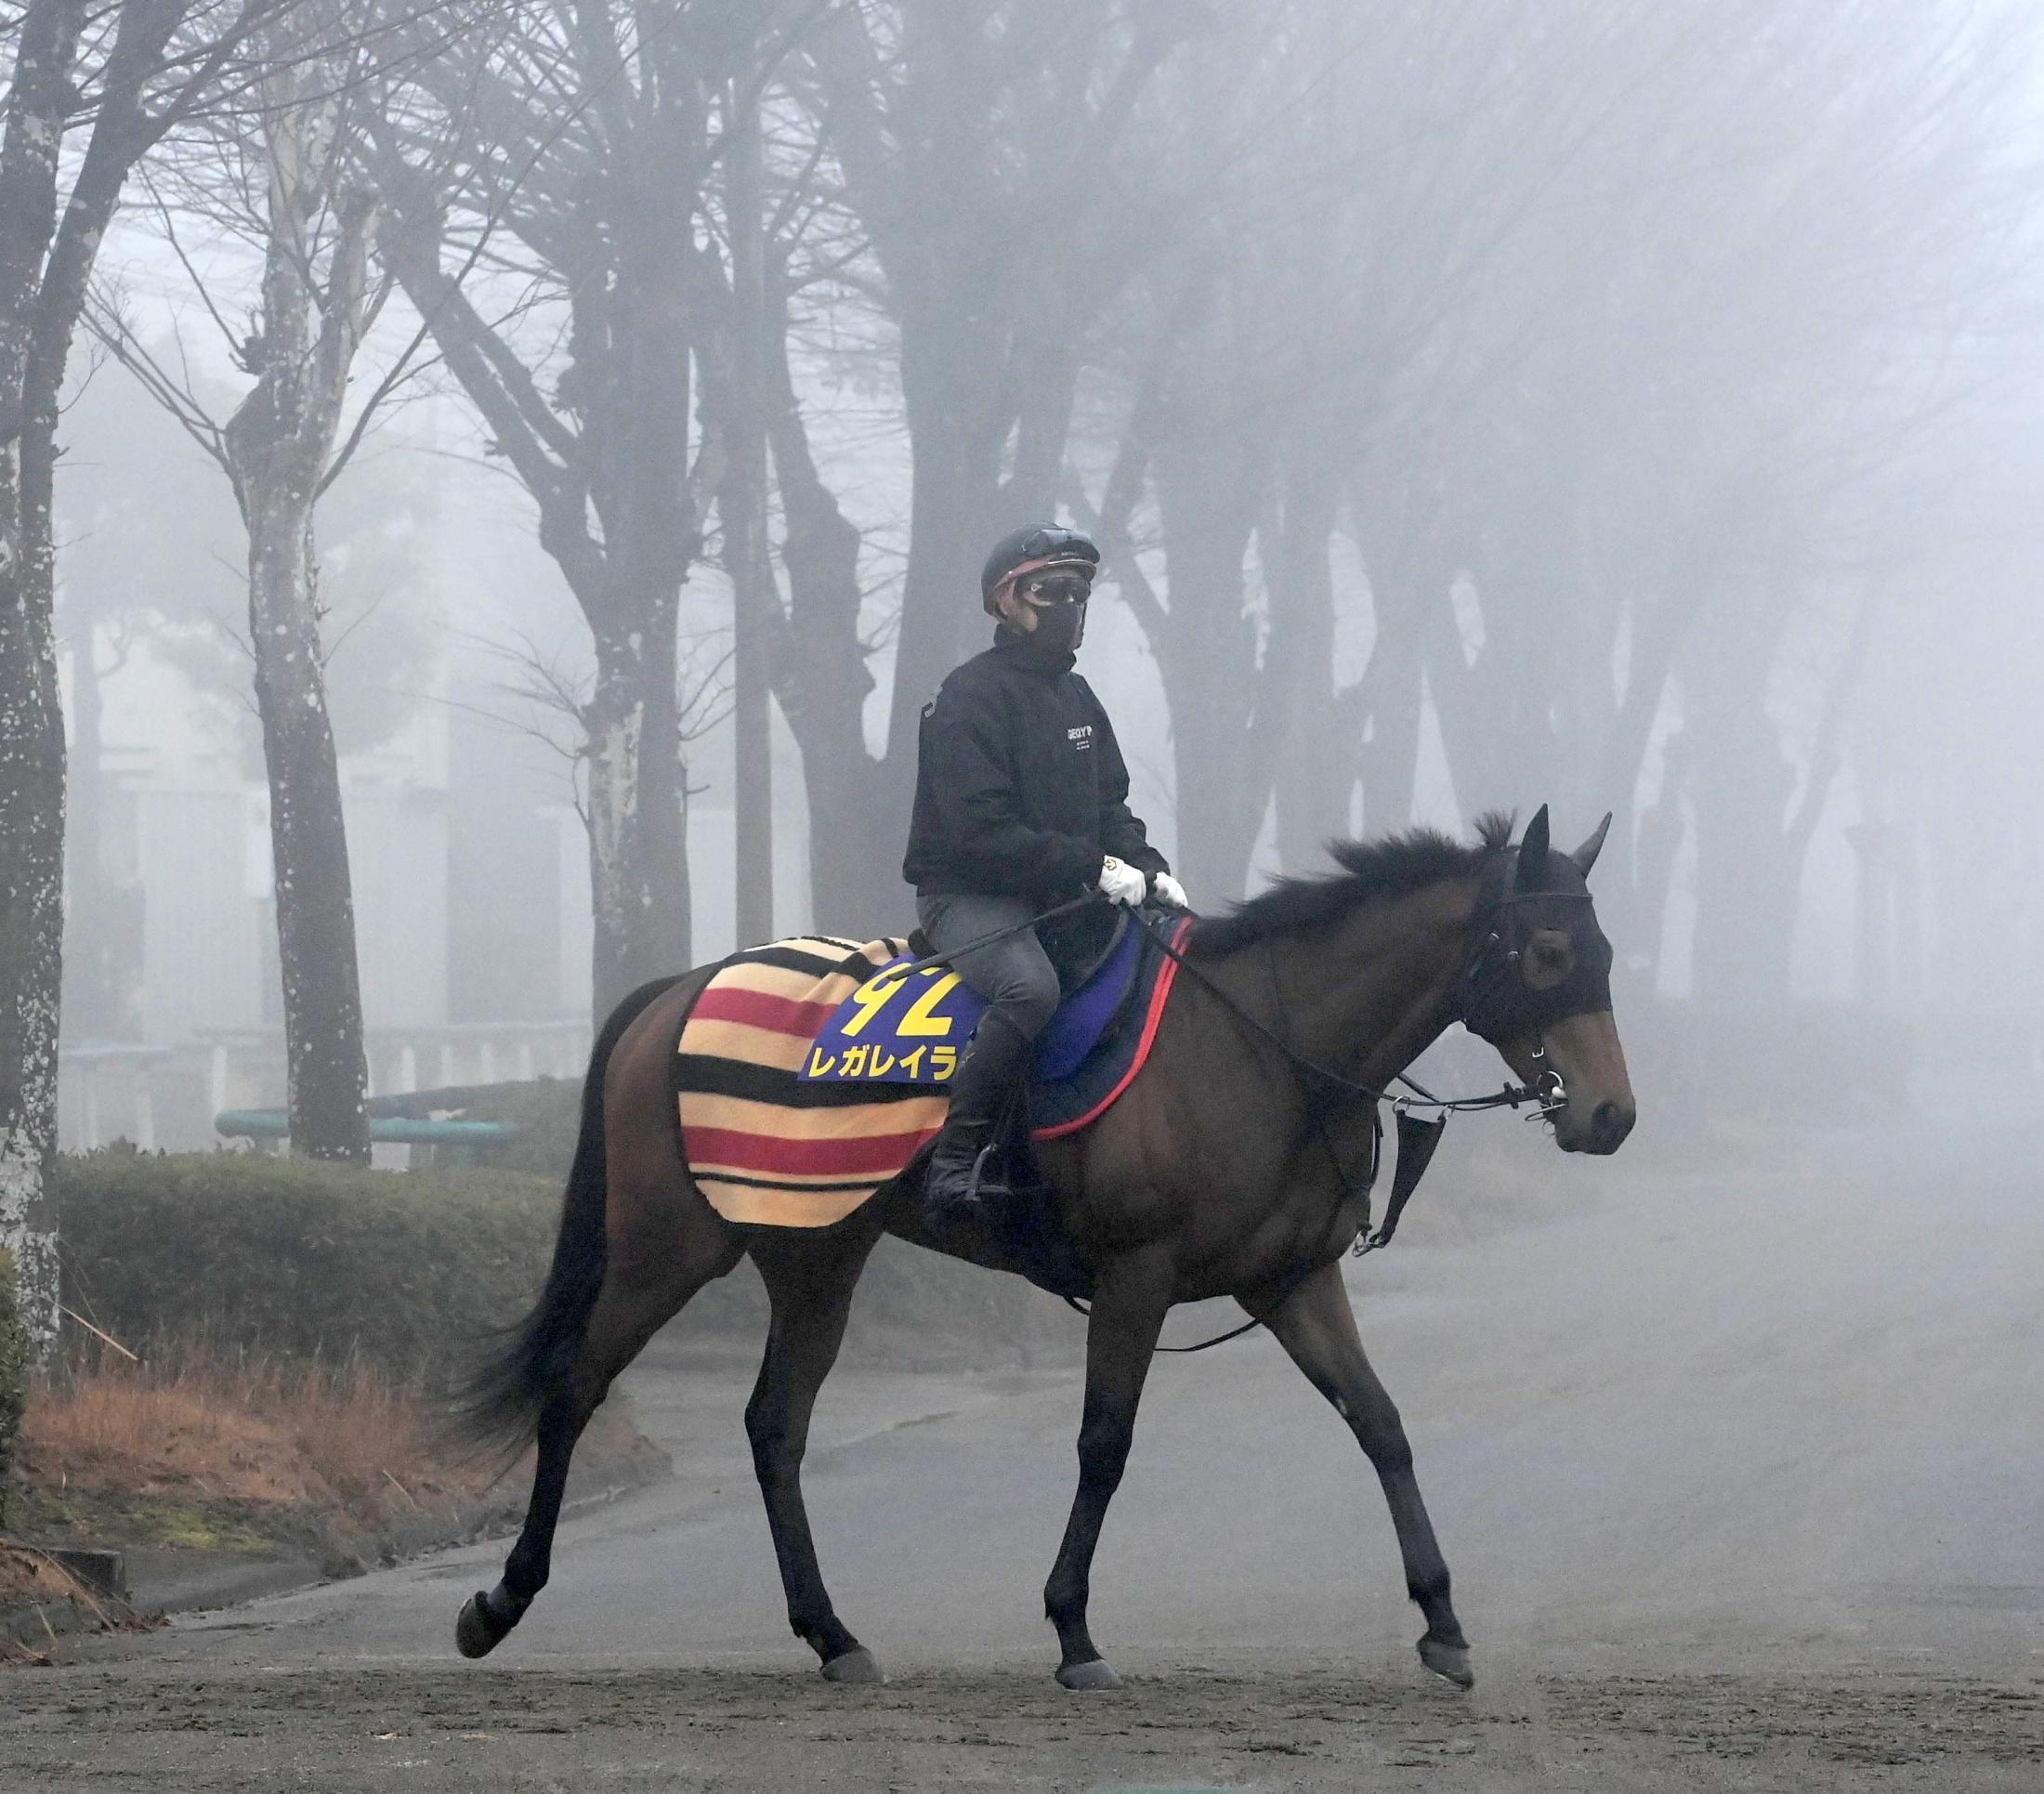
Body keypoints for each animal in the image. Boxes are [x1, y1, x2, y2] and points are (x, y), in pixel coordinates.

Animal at [452, 805, 1636, 1692]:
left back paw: (833, 1633)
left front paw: (1441, 1616)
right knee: (574, 1386)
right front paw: (1072, 1628)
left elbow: (1380, 1423)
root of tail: (678, 989)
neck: (1259, 1042)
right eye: (1547, 952)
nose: (1611, 1113)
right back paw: (499, 1599)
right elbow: (1104, 1442)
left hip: (815, 1252)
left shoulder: (1294, 1277)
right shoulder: (1135, 1276)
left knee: (775, 1426)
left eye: (1605, 954)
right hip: (666, 1245)